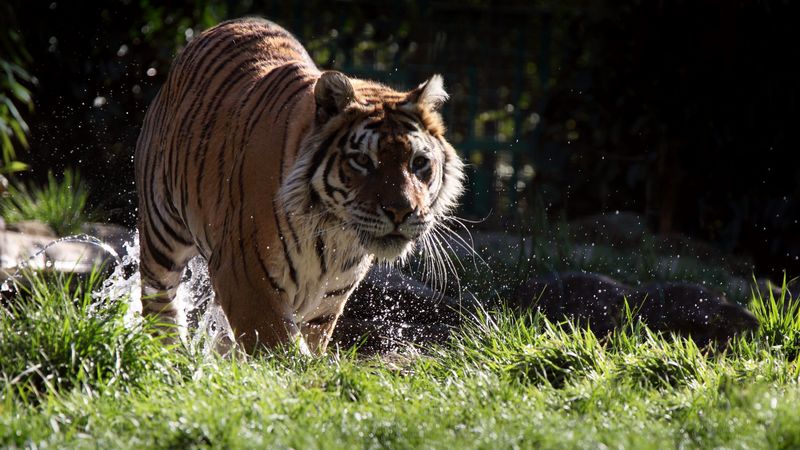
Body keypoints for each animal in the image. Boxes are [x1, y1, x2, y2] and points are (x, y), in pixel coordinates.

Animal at [135, 17, 465, 354]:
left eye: (419, 162)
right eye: (362, 160)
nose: (401, 211)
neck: (334, 236)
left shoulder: (328, 301)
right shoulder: (245, 275)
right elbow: (285, 349)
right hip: (162, 230)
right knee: (159, 296)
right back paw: (166, 352)